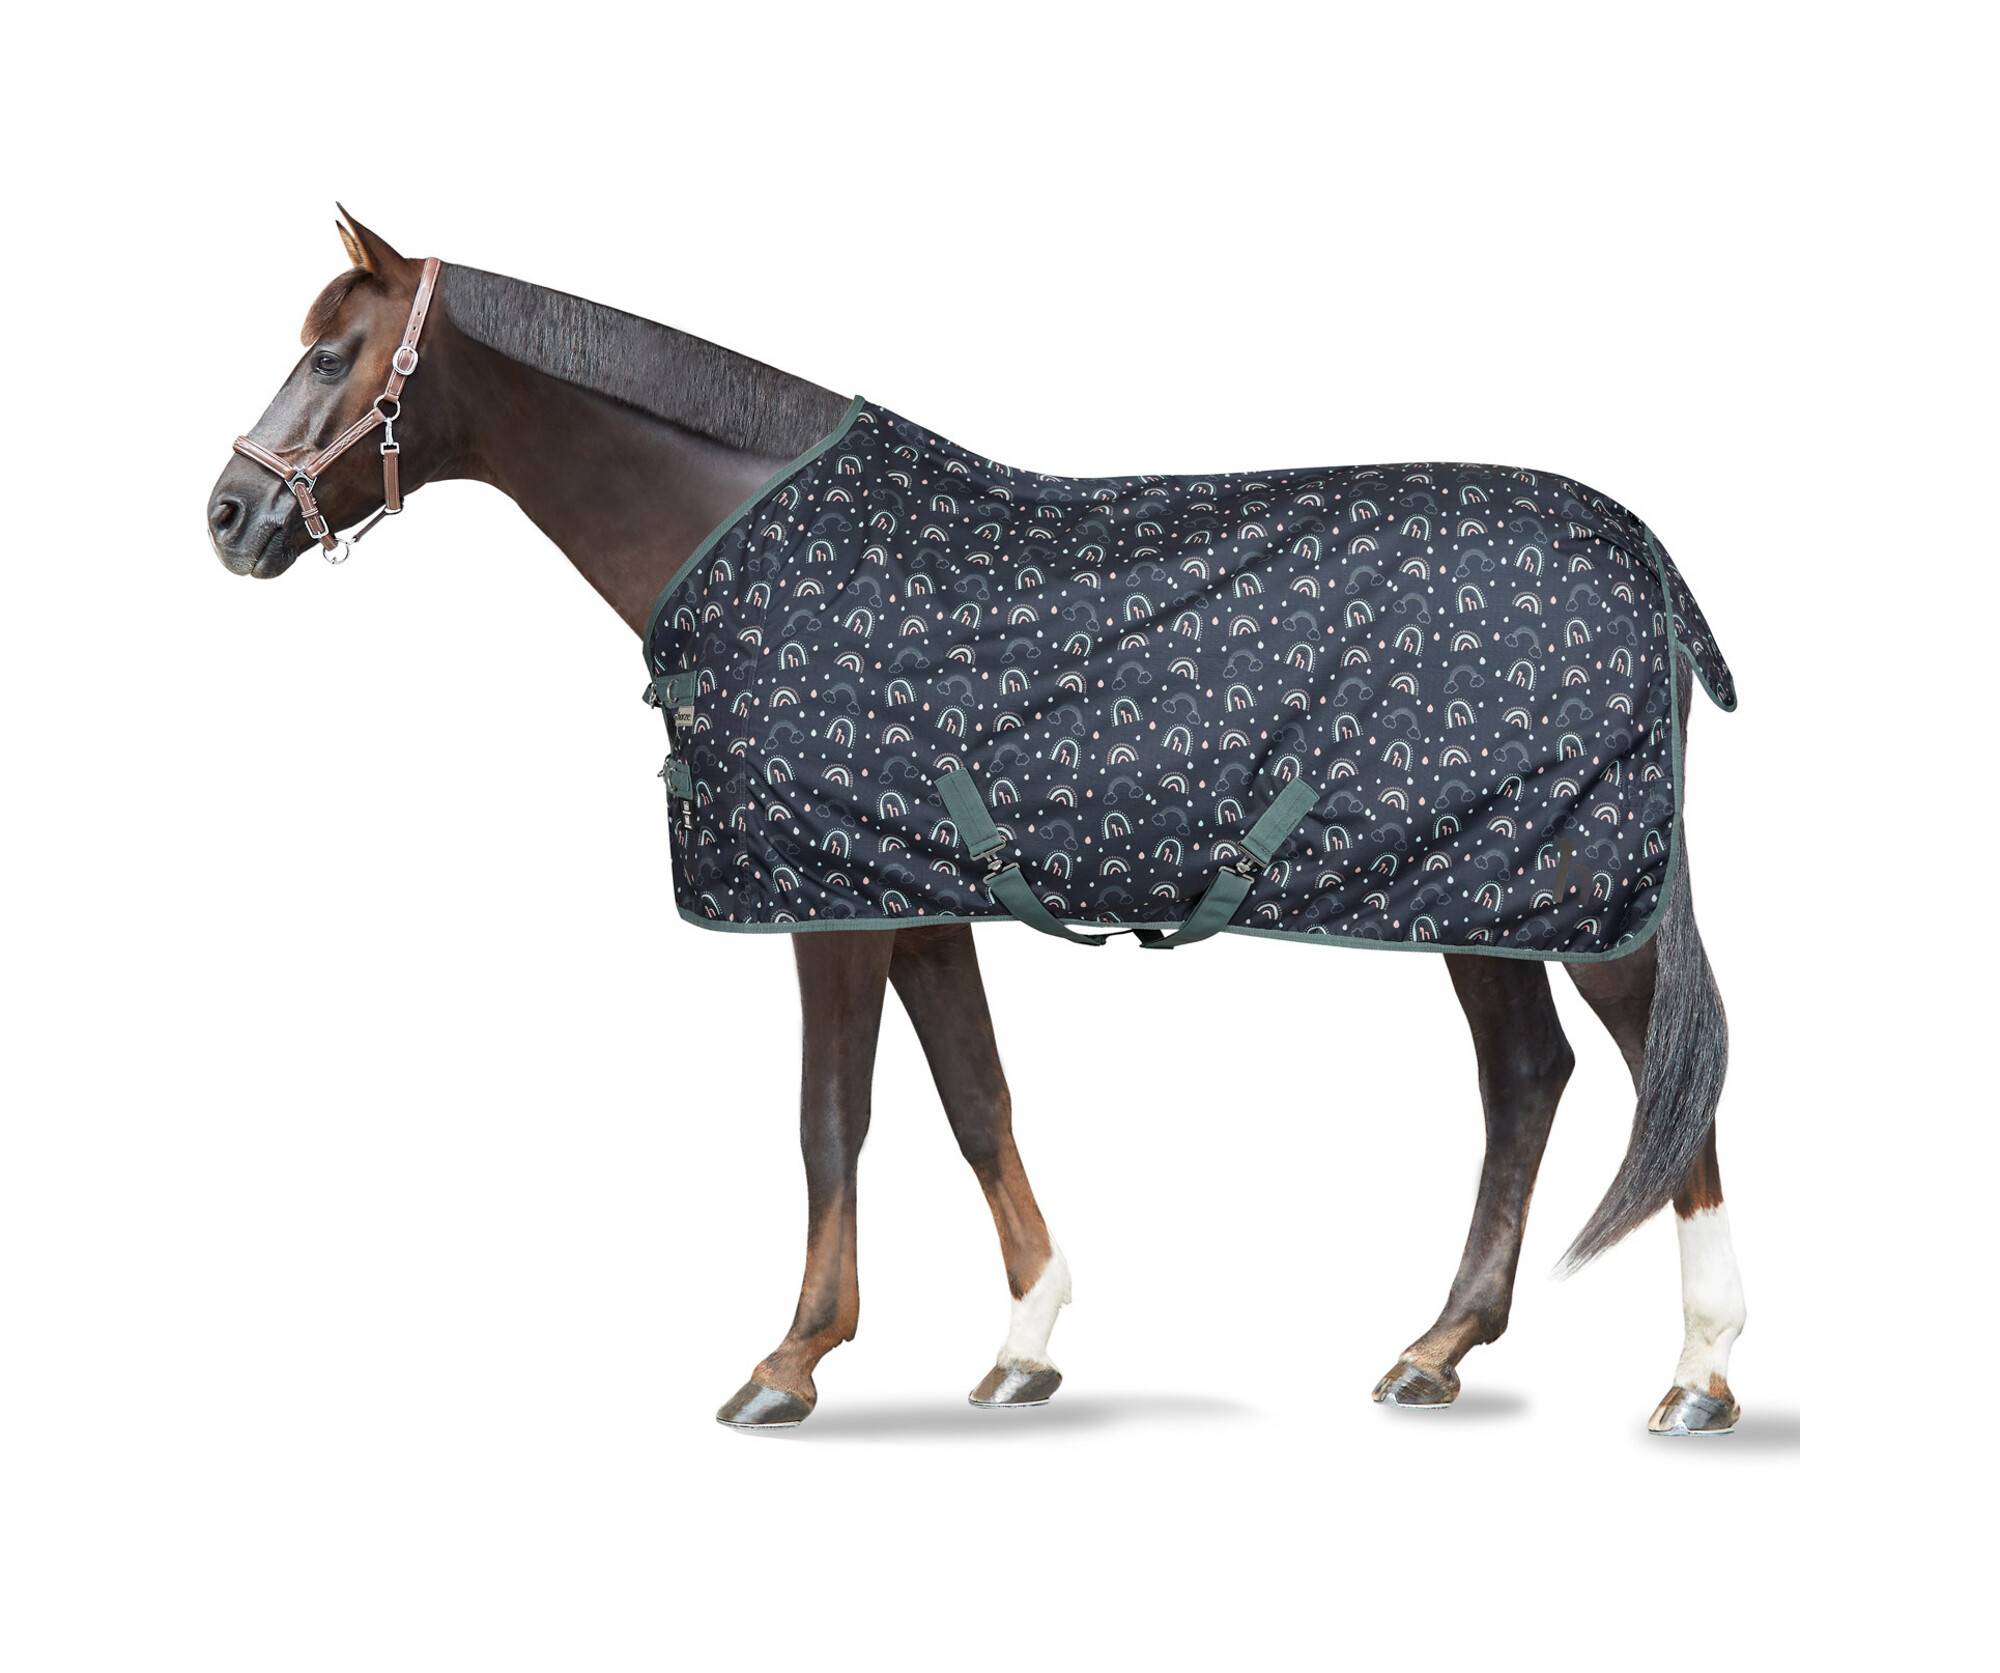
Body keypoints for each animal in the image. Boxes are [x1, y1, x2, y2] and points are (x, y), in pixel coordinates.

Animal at [206, 212, 1744, 1436]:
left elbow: (831, 1116)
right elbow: (973, 1096)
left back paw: (1701, 1374)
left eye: (335, 355)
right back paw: (1436, 1348)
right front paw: (1025, 1341)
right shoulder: (914, 894)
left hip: (1580, 907)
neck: (748, 535)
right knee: (1527, 1079)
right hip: (1481, 898)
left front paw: (790, 1359)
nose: (227, 515)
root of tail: (1648, 558)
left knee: (1667, 1080)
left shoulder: (825, 906)